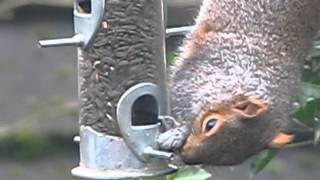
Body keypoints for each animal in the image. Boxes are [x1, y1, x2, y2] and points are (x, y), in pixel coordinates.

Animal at [158, 0, 320, 166]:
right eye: (210, 124)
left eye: (228, 162)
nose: (186, 158)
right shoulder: (208, 67)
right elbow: (183, 96)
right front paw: (178, 132)